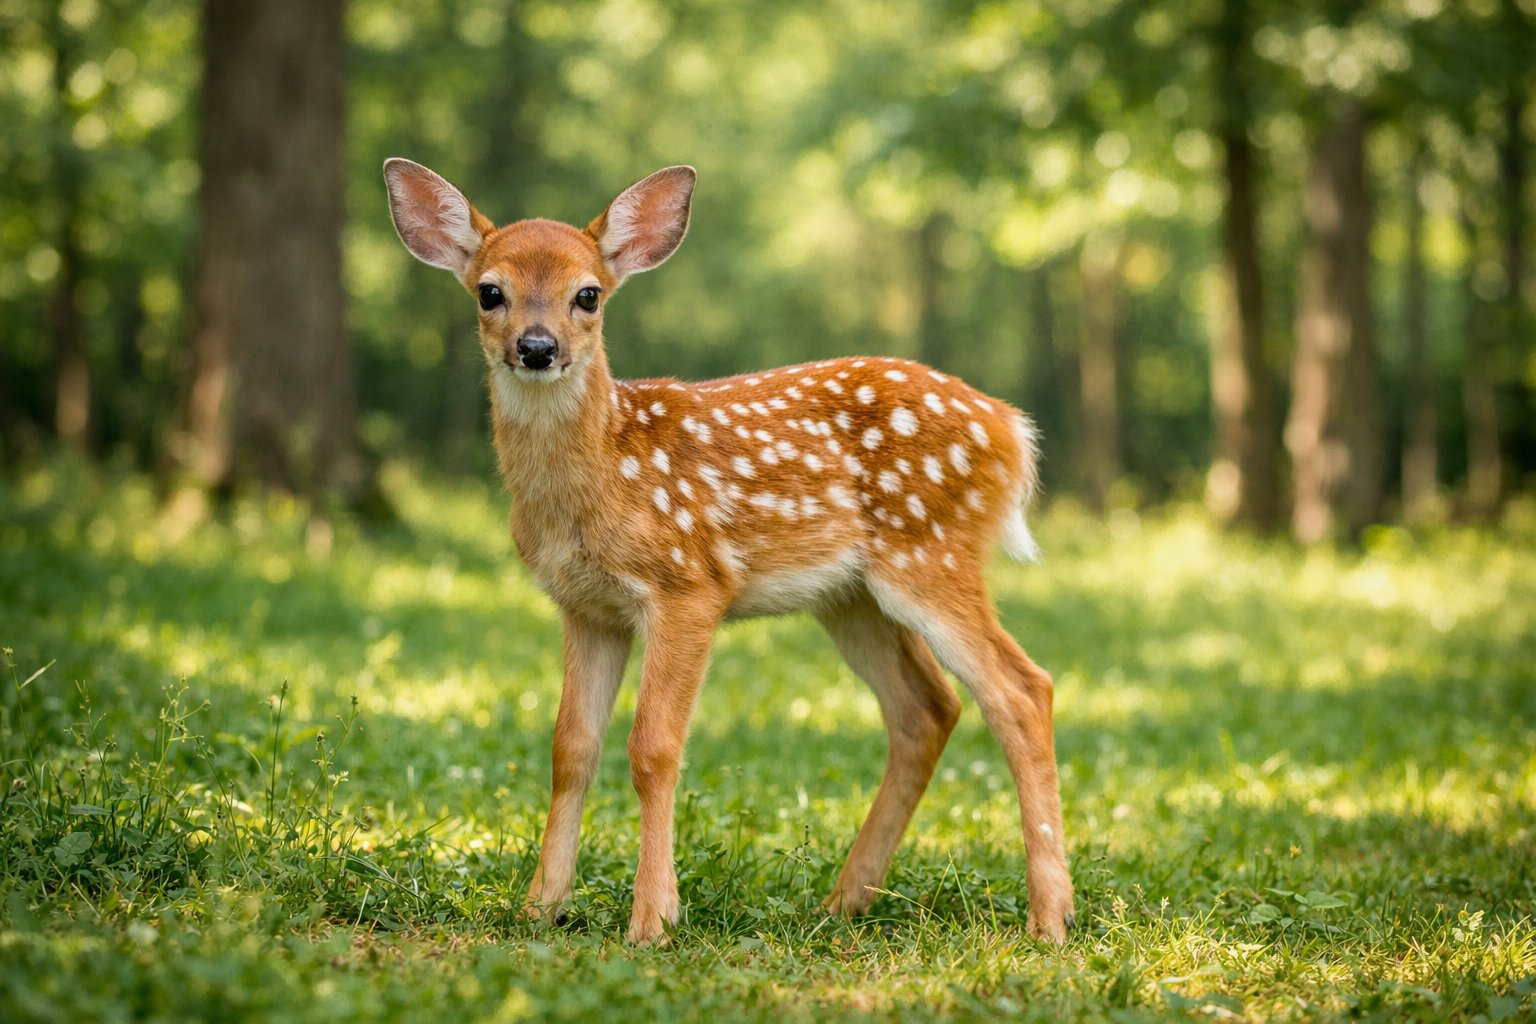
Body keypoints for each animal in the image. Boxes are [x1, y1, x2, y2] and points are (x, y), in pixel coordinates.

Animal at [383, 159, 1076, 944]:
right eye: (489, 292)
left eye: (588, 294)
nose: (536, 348)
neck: (603, 475)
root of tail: (1011, 429)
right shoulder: (586, 607)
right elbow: (571, 749)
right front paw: (540, 907)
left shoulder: (688, 585)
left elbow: (653, 747)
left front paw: (652, 919)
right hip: (852, 597)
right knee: (926, 709)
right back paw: (844, 901)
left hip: (932, 552)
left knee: (1021, 689)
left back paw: (1049, 916)